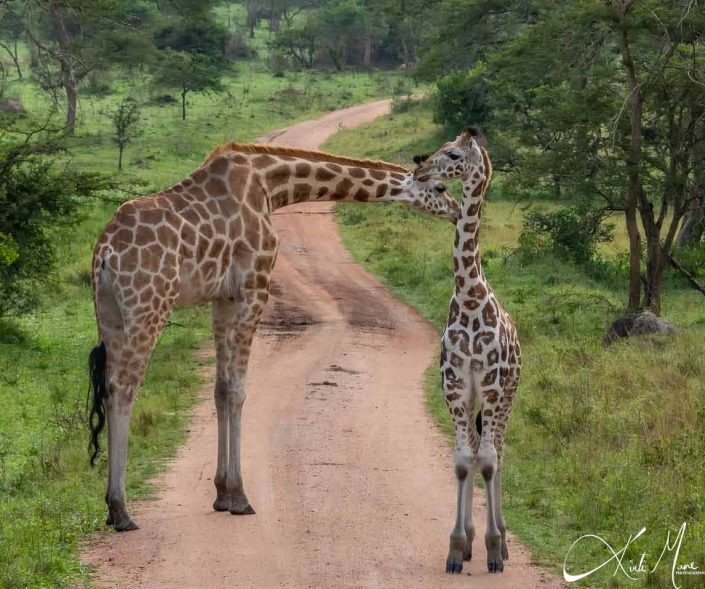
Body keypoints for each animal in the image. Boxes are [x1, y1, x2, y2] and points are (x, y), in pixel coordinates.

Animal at [86, 140, 456, 532]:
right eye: (440, 187)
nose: (456, 211)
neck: (270, 186)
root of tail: (105, 252)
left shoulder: (223, 298)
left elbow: (221, 389)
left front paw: (221, 493)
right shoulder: (255, 287)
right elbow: (238, 390)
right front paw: (239, 496)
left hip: (109, 315)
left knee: (108, 387)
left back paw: (111, 507)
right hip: (149, 306)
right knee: (124, 388)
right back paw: (121, 510)